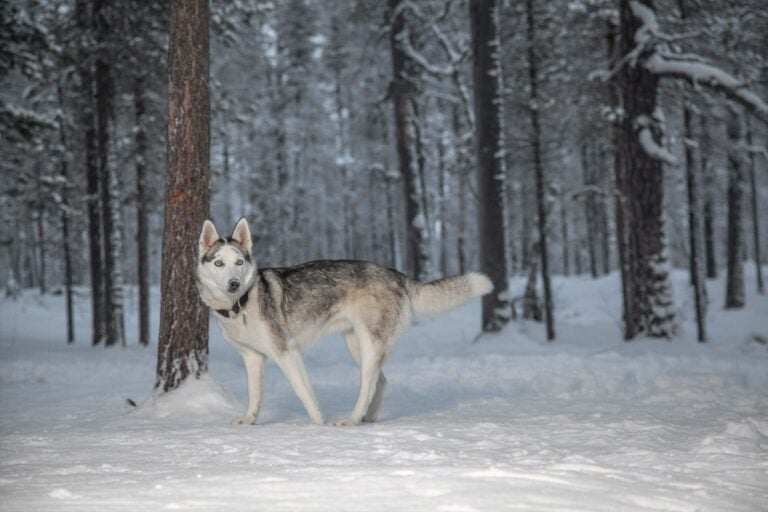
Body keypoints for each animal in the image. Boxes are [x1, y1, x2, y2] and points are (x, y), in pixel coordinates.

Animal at [196, 218, 492, 426]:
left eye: (239, 262)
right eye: (219, 263)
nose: (234, 284)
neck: (241, 304)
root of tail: (395, 273)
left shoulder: (287, 353)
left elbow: (305, 394)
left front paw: (319, 425)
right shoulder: (253, 358)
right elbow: (254, 394)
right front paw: (250, 419)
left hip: (369, 344)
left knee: (368, 384)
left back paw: (351, 419)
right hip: (356, 346)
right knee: (381, 381)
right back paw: (367, 417)